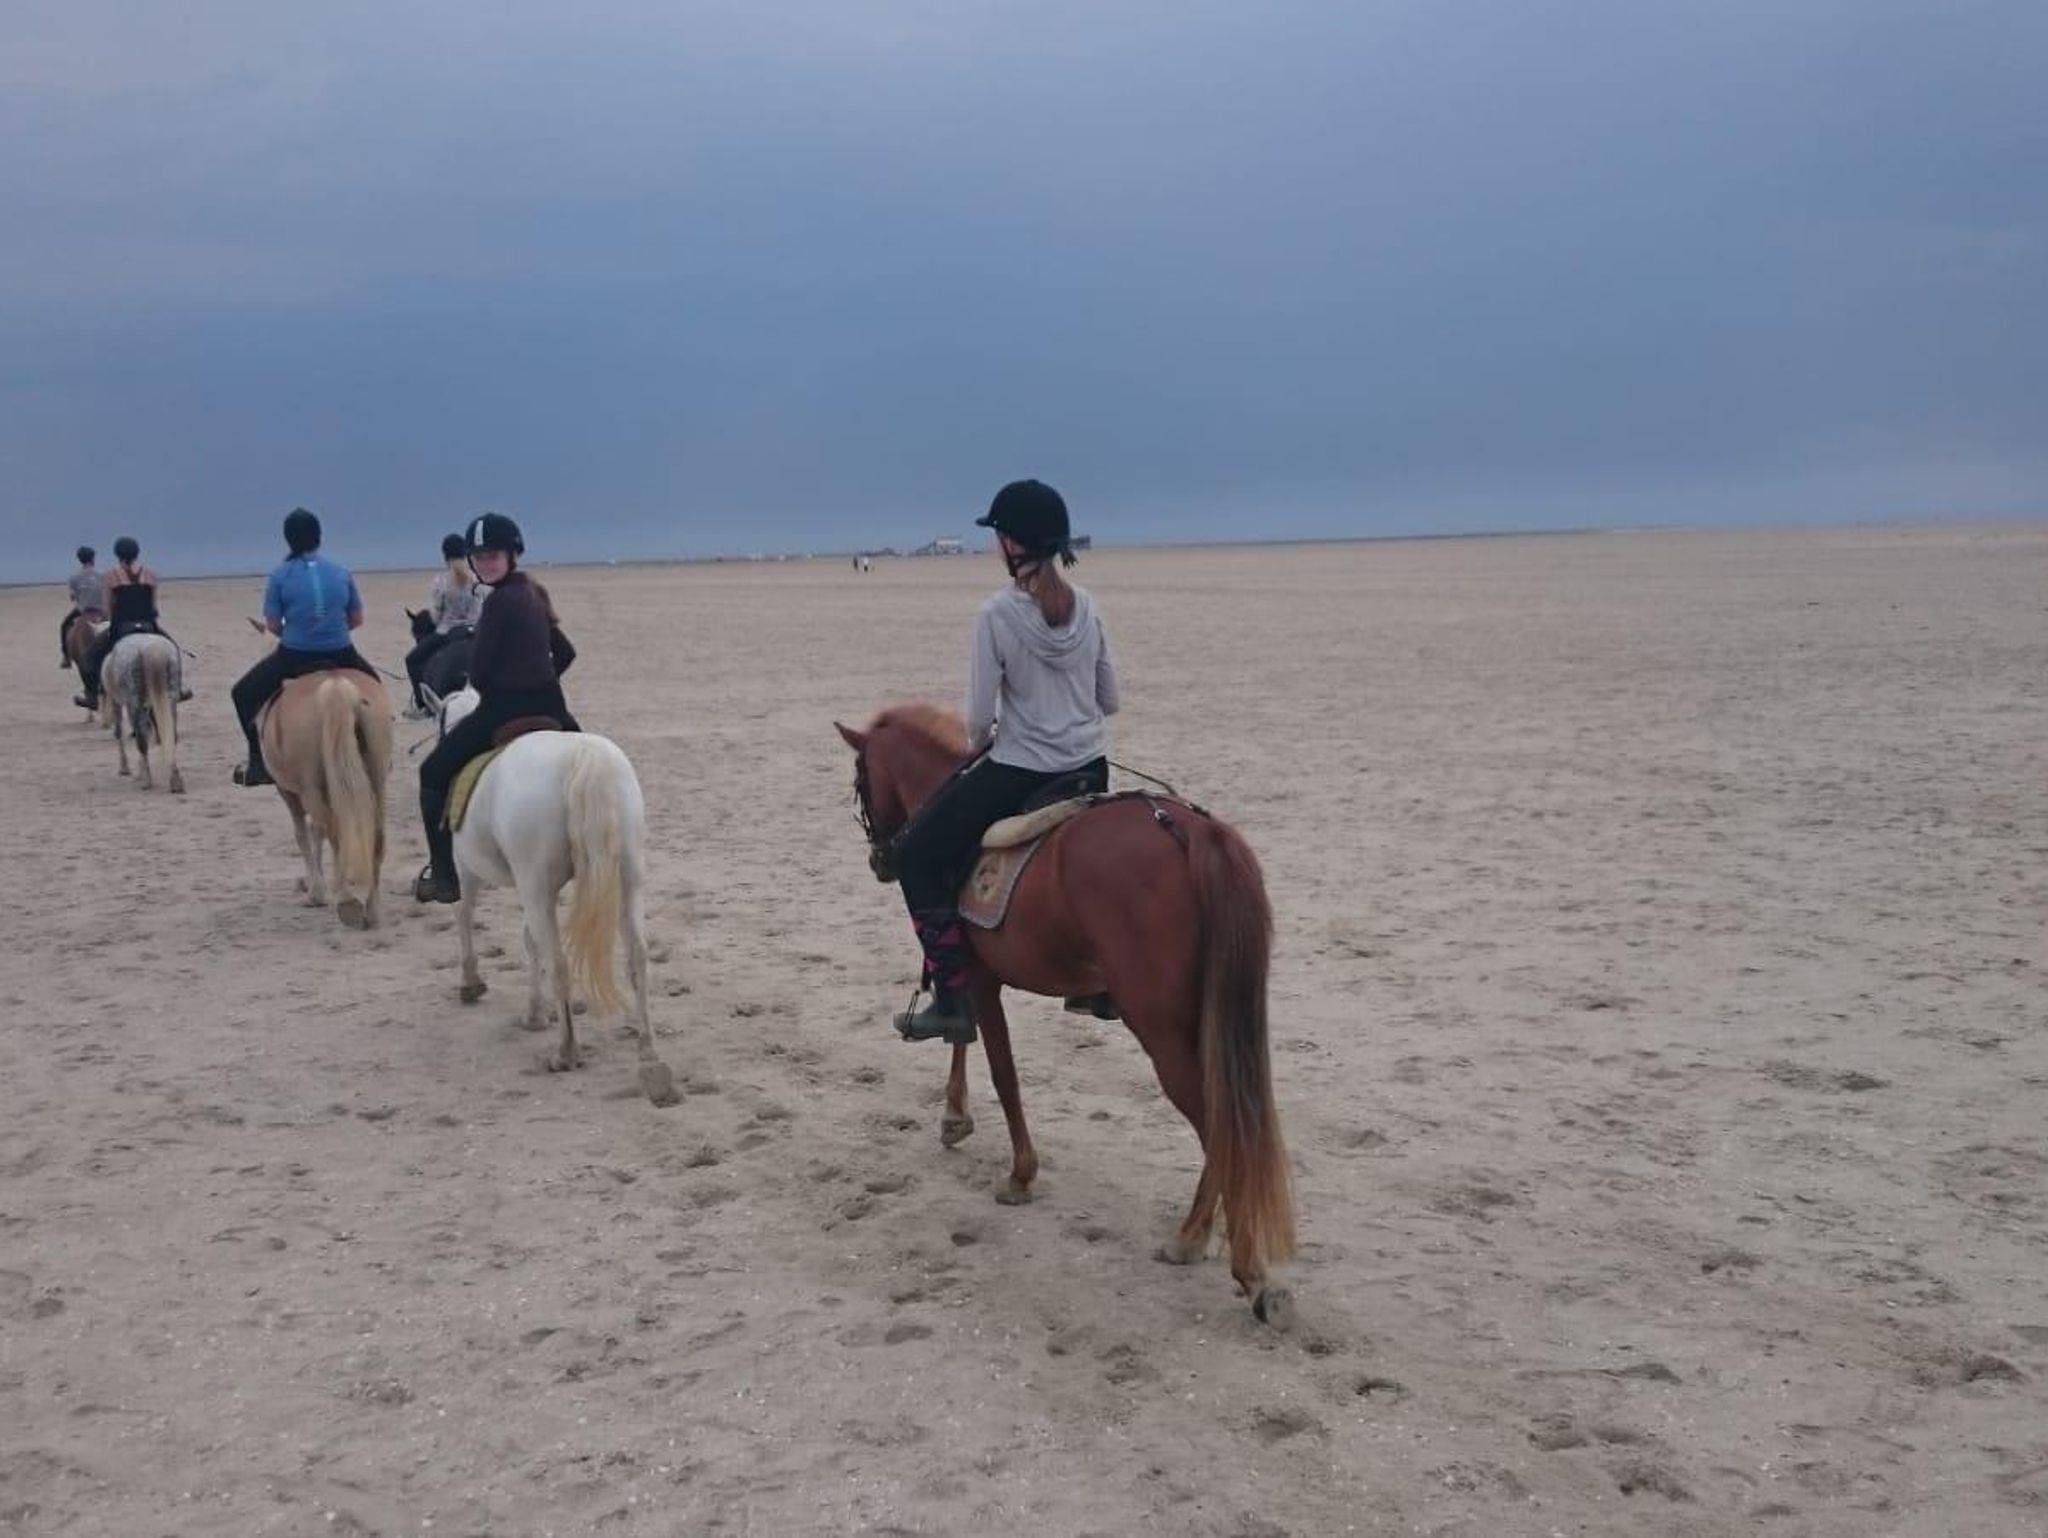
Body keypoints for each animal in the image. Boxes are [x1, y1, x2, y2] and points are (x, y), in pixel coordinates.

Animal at [98, 633, 184, 792]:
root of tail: (154, 651)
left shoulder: (118, 702)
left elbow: (120, 733)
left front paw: (125, 768)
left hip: (135, 703)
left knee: (141, 739)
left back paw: (147, 781)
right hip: (171, 700)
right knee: (171, 735)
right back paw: (175, 780)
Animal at [259, 668, 393, 929]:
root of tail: (337, 685)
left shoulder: (288, 792)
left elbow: (302, 834)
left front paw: (316, 893)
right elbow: (316, 831)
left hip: (309, 789)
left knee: (336, 836)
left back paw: (346, 902)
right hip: (377, 780)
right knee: (376, 837)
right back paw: (371, 911)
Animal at [428, 685, 678, 1107]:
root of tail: (585, 756)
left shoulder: (470, 870)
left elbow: (465, 915)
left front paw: (472, 982)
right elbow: (529, 941)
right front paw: (535, 1013)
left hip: (535, 885)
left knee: (559, 961)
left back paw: (567, 1051)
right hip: (627, 878)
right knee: (637, 956)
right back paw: (648, 1052)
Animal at [836, 704, 1297, 1324]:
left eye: (861, 781)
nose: (881, 859)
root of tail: (1188, 833)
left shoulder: (979, 979)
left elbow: (998, 1068)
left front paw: (1019, 1173)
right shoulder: (976, 975)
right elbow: (963, 1038)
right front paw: (954, 1117)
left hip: (1162, 1029)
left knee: (1218, 1124)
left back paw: (1238, 1265)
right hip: (1204, 1021)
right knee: (1228, 1114)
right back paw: (1202, 1236)